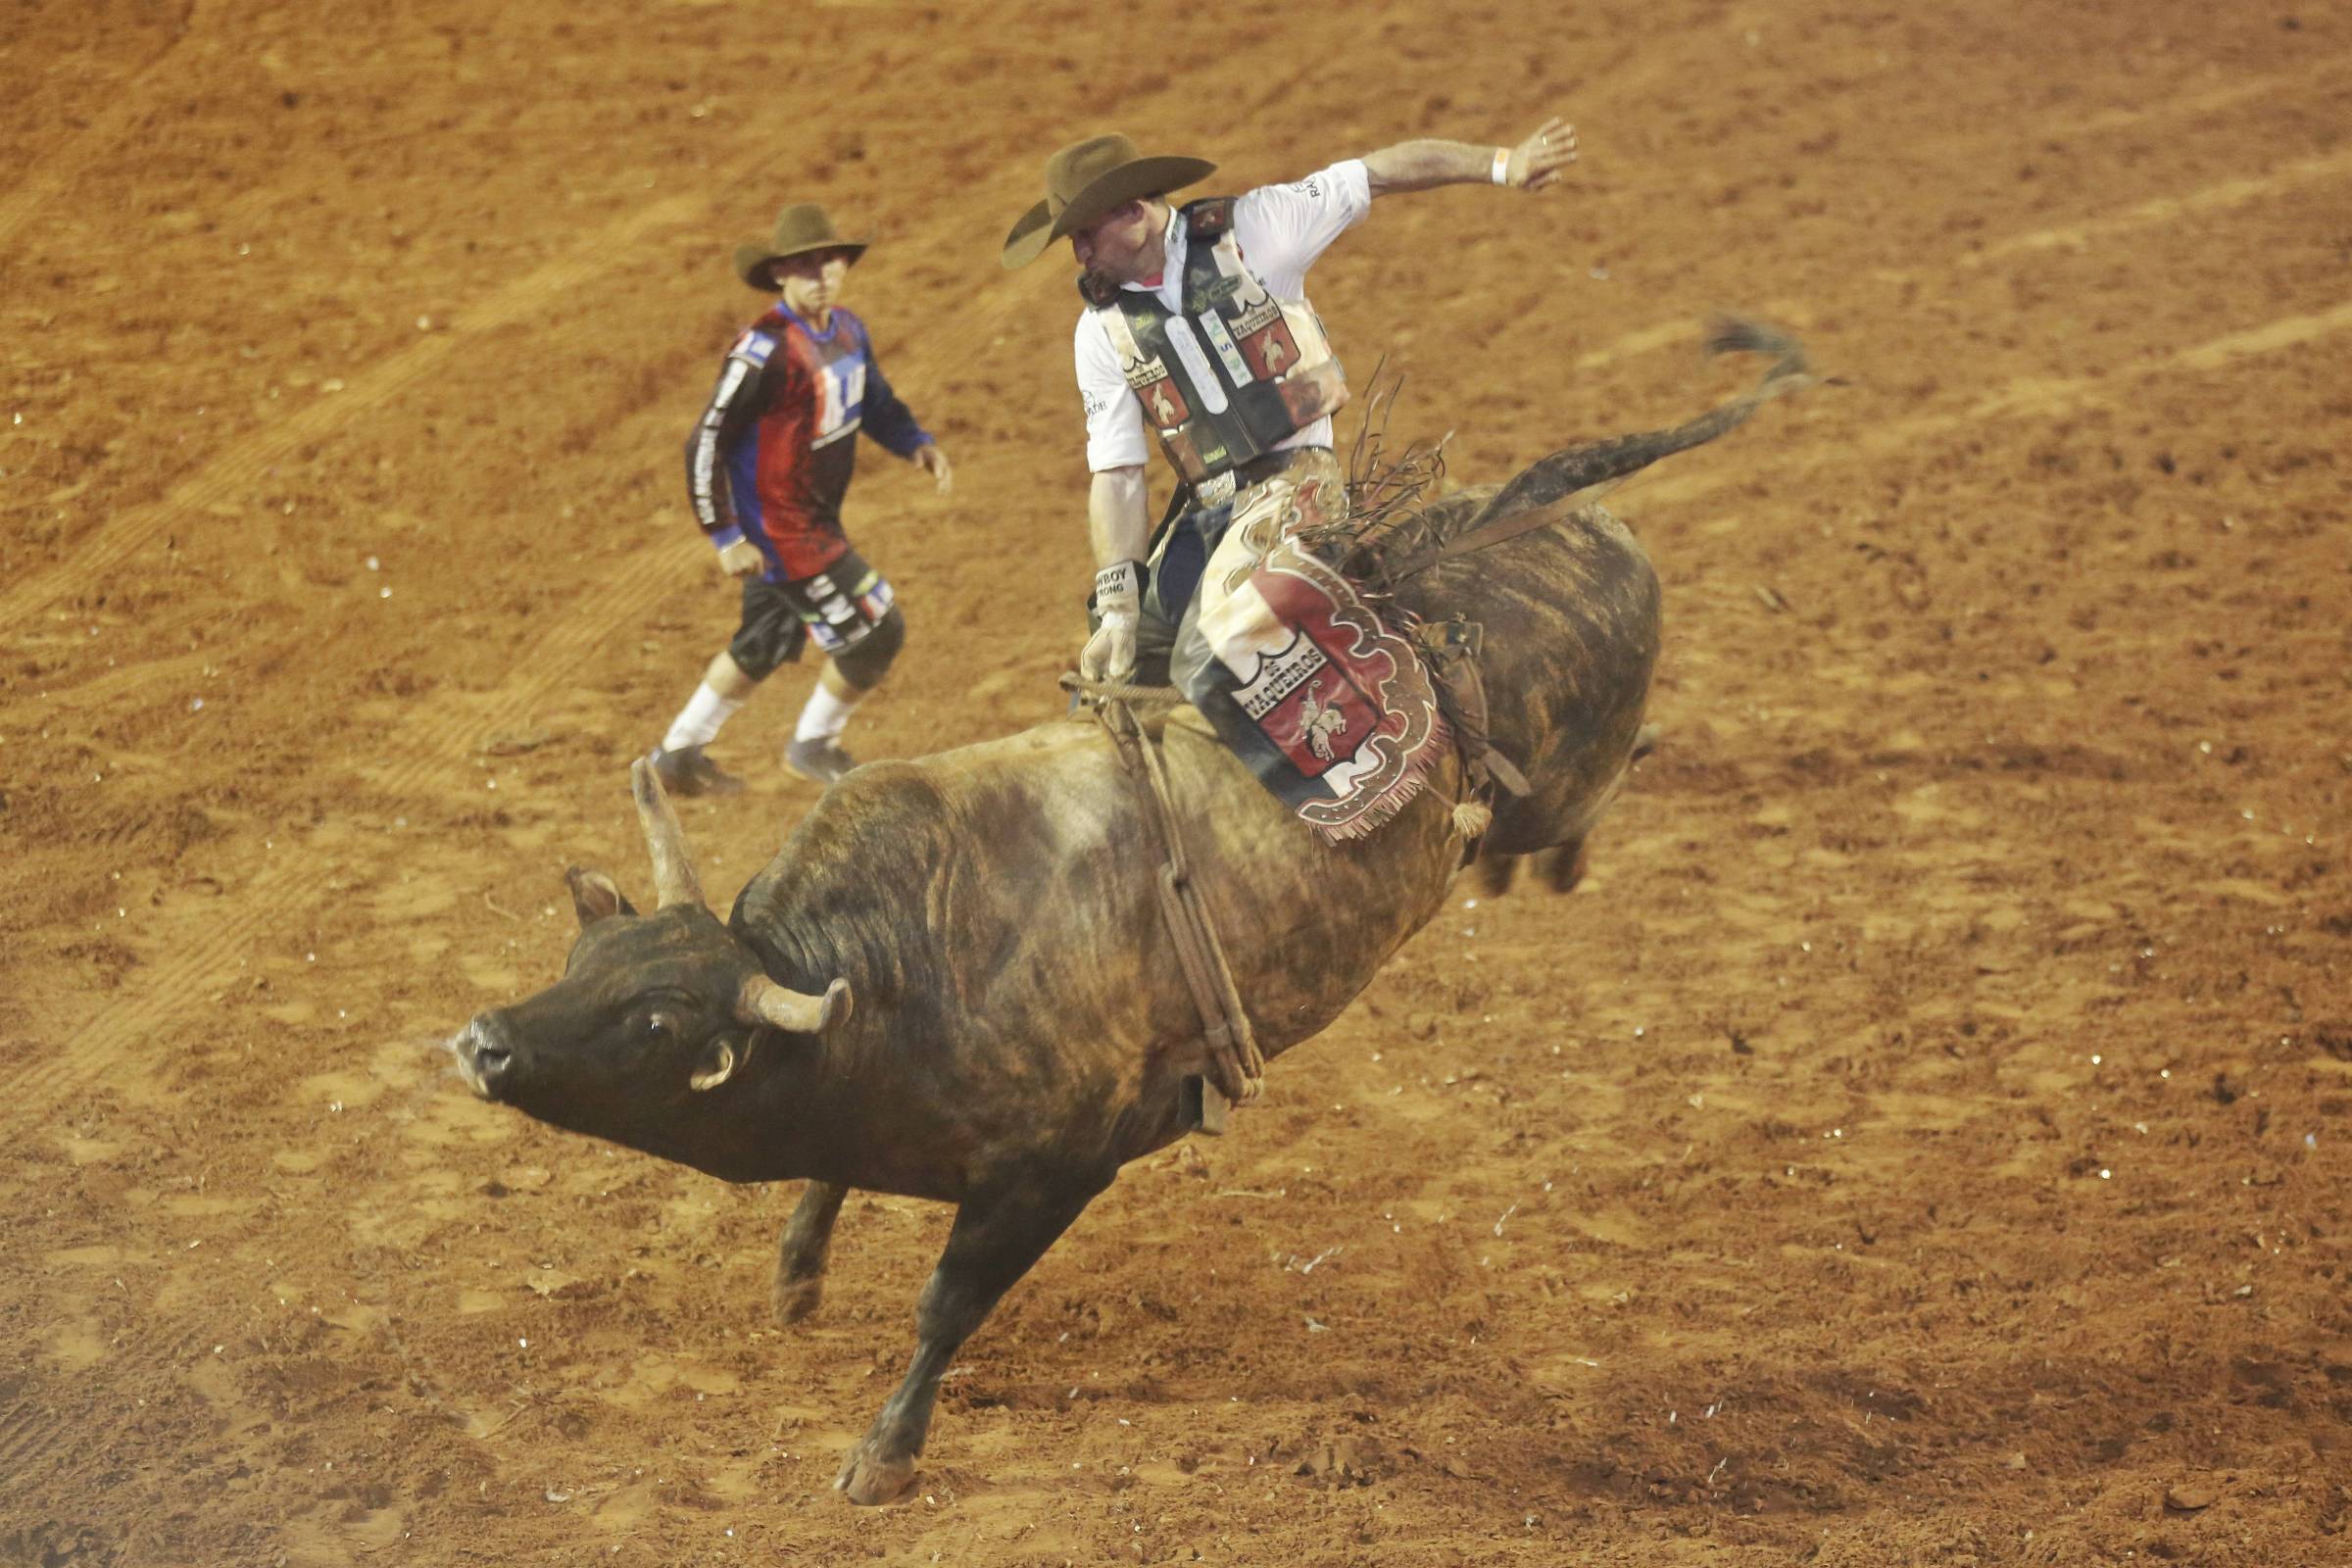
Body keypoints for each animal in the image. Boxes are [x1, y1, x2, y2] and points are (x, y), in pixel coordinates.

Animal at [454, 321, 1815, 1504]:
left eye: (656, 1021)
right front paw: (794, 1279)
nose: (482, 1040)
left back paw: (1561, 857)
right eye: (584, 952)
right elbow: (829, 1183)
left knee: (1594, 794)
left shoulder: (1060, 1168)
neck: (915, 963)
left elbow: (946, 1305)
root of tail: (1563, 512)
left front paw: (883, 1455)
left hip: (1573, 773)